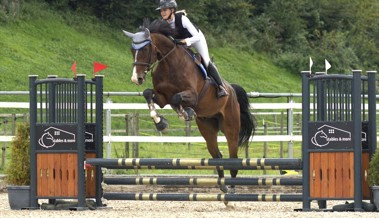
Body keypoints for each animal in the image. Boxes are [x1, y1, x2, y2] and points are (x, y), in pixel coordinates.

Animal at [123, 20, 256, 194]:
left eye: (145, 49)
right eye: (132, 50)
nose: (136, 78)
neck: (169, 64)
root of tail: (232, 90)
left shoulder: (192, 94)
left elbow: (177, 97)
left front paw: (185, 113)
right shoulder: (162, 98)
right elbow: (148, 94)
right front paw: (161, 123)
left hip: (231, 128)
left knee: (233, 159)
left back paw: (232, 189)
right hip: (207, 128)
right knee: (217, 156)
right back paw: (223, 186)